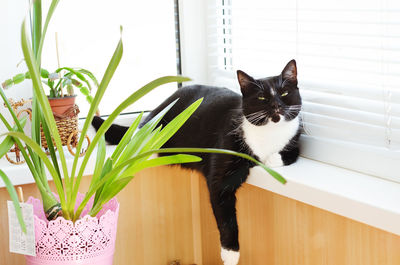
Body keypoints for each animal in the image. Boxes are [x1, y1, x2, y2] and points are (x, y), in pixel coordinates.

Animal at [92, 59, 302, 264]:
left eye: (284, 93)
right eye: (261, 98)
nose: (276, 106)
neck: (269, 134)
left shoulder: (295, 140)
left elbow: (289, 153)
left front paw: (272, 158)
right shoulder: (221, 171)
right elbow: (225, 216)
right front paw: (230, 254)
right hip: (155, 129)